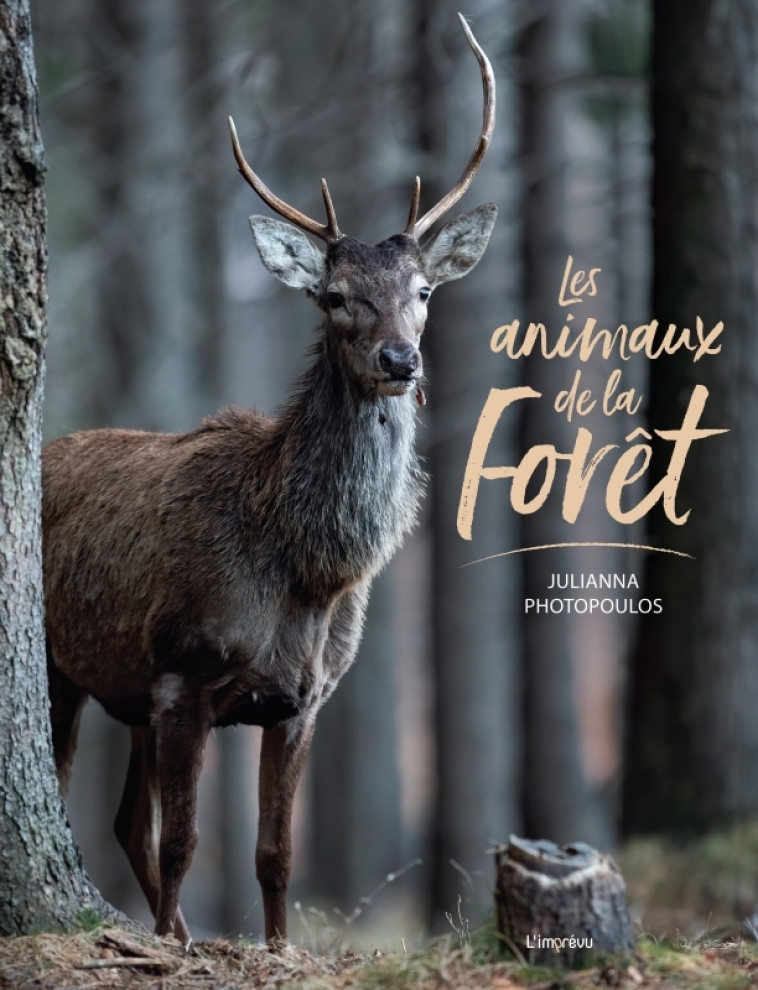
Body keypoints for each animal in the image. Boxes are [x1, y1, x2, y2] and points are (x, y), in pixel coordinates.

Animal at [44, 13, 502, 944]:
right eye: (333, 295)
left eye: (424, 289)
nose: (399, 359)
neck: (308, 571)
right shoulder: (183, 668)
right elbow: (185, 842)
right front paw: (172, 953)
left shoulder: (304, 697)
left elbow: (274, 855)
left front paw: (274, 949)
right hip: (64, 666)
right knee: (91, 801)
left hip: (124, 694)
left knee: (122, 821)